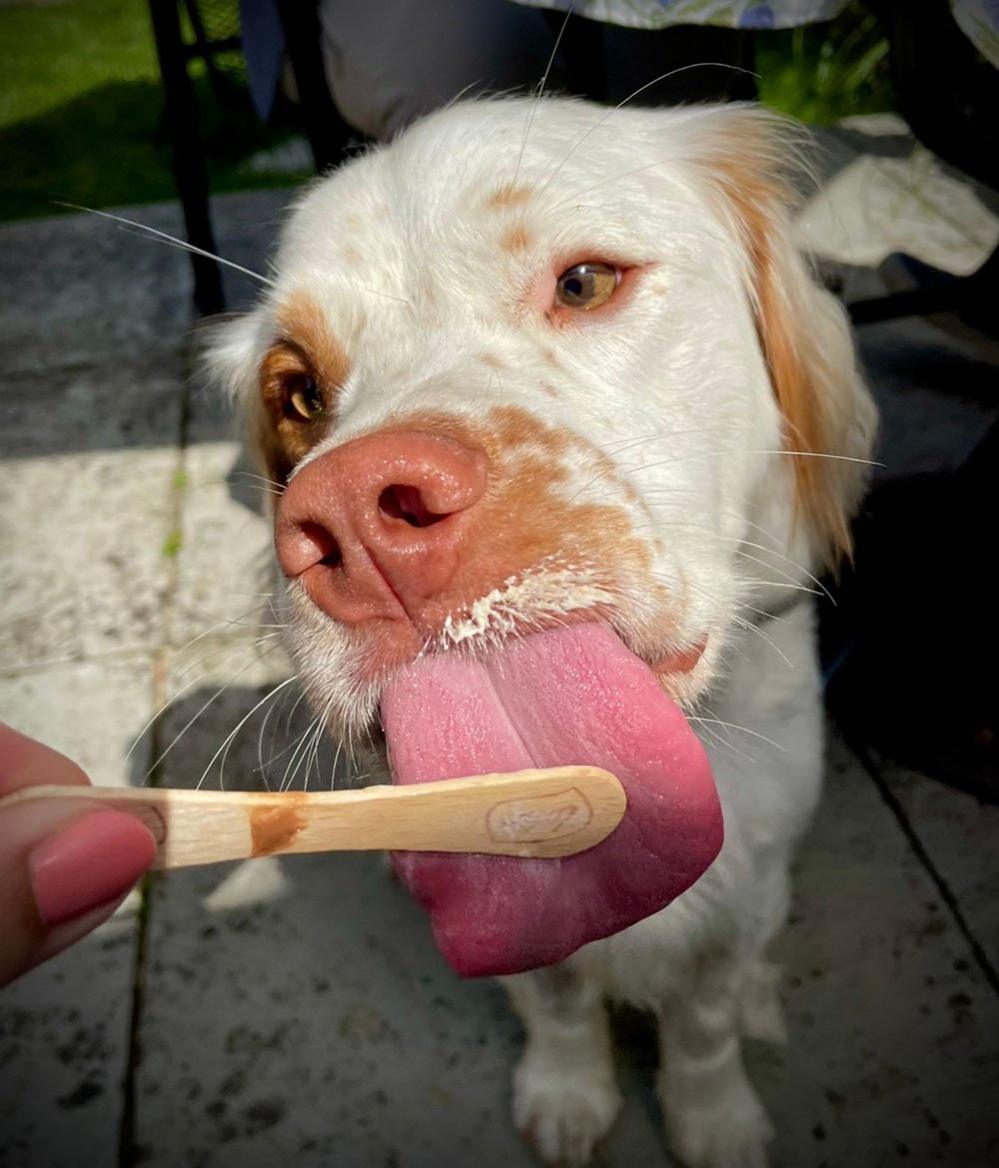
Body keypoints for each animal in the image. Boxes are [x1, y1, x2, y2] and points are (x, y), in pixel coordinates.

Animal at [205, 100, 873, 1168]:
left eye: (585, 281)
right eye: (296, 393)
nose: (353, 516)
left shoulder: (745, 898)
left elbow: (705, 1024)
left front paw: (712, 1118)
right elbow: (560, 1007)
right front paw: (569, 1094)